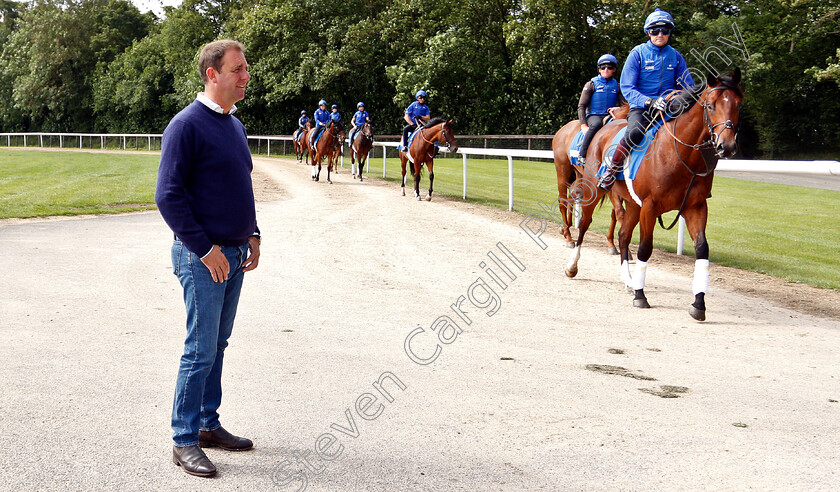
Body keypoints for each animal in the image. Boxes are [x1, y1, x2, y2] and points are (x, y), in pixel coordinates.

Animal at [552, 102, 632, 252]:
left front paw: (611, 243)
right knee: (563, 200)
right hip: (562, 171)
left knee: (572, 196)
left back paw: (565, 228)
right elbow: (619, 212)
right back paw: (568, 236)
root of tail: (561, 130)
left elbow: (615, 213)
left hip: (579, 174)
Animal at [564, 70, 740, 322]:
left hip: (632, 204)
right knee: (585, 225)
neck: (679, 156)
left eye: (738, 105)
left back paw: (628, 280)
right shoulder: (650, 206)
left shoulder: (695, 207)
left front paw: (699, 303)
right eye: (710, 105)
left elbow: (702, 250)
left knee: (623, 235)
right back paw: (572, 265)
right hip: (594, 190)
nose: (727, 146)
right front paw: (641, 295)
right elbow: (646, 248)